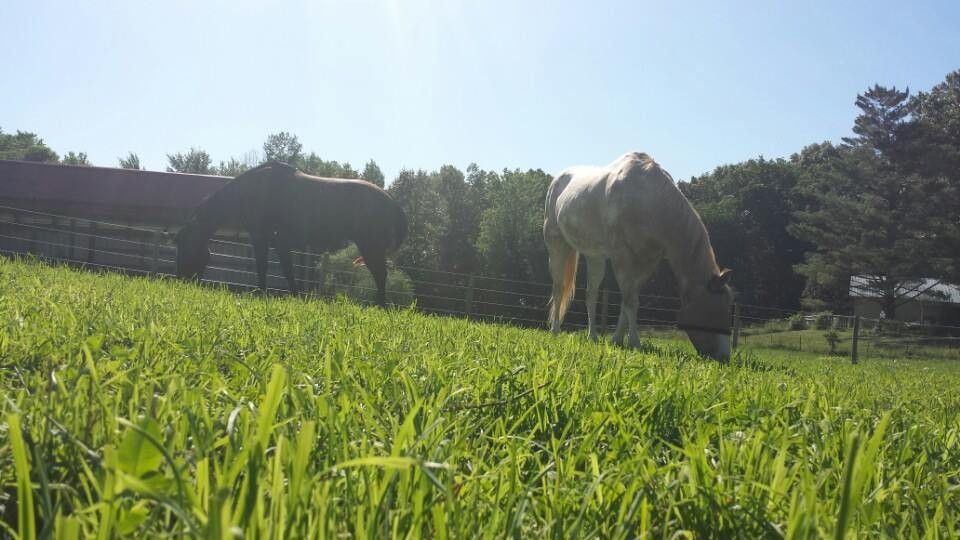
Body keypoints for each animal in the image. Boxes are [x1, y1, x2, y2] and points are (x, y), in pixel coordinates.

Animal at [174, 160, 406, 306]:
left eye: (183, 245)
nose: (182, 280)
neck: (251, 190)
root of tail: (392, 201)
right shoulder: (280, 242)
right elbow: (288, 270)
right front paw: (295, 295)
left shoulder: (262, 237)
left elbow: (264, 267)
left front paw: (262, 292)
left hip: (370, 246)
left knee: (380, 275)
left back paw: (380, 305)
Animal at [540, 152, 736, 360]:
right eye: (714, 309)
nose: (724, 357)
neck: (647, 202)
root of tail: (557, 181)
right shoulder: (621, 256)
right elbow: (631, 301)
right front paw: (635, 342)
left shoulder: (647, 262)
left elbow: (628, 300)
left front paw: (617, 340)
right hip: (557, 244)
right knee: (558, 288)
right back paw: (555, 330)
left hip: (595, 257)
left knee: (591, 294)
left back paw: (592, 336)